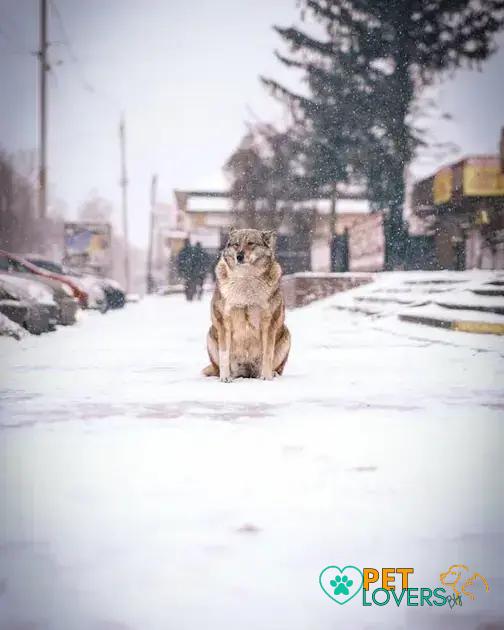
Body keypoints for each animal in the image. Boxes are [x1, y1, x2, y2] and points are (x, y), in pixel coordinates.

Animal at [202, 228, 290, 382]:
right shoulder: (224, 322)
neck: (246, 278)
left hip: (286, 335)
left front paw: (266, 377)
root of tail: (248, 373)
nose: (239, 256)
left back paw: (271, 374)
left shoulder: (269, 323)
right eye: (236, 244)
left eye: (251, 243)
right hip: (211, 335)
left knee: (277, 367)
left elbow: (268, 353)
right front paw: (225, 378)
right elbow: (224, 354)